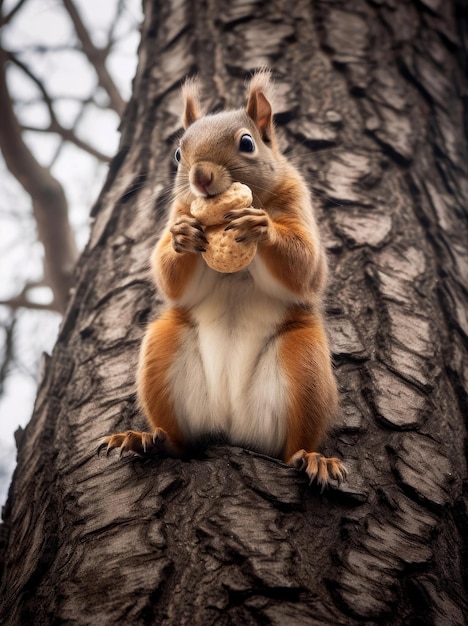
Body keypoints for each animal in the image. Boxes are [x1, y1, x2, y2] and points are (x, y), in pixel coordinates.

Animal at [99, 68, 348, 488]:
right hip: (163, 350)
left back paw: (313, 458)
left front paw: (260, 227)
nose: (200, 176)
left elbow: (305, 267)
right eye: (178, 154)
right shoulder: (180, 210)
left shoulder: (298, 201)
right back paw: (145, 439)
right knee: (180, 443)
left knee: (293, 448)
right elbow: (171, 279)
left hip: (305, 366)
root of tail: (232, 424)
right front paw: (183, 238)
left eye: (247, 143)